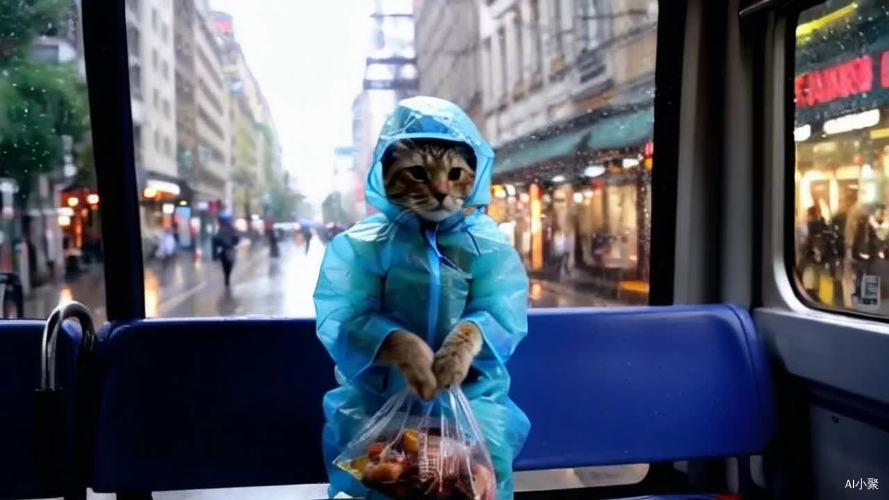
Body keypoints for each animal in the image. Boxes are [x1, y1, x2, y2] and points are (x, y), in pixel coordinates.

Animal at [376, 139, 486, 400]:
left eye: (455, 173)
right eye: (417, 172)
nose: (441, 193)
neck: (431, 230)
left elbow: (471, 325)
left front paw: (452, 360)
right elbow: (397, 335)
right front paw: (421, 367)